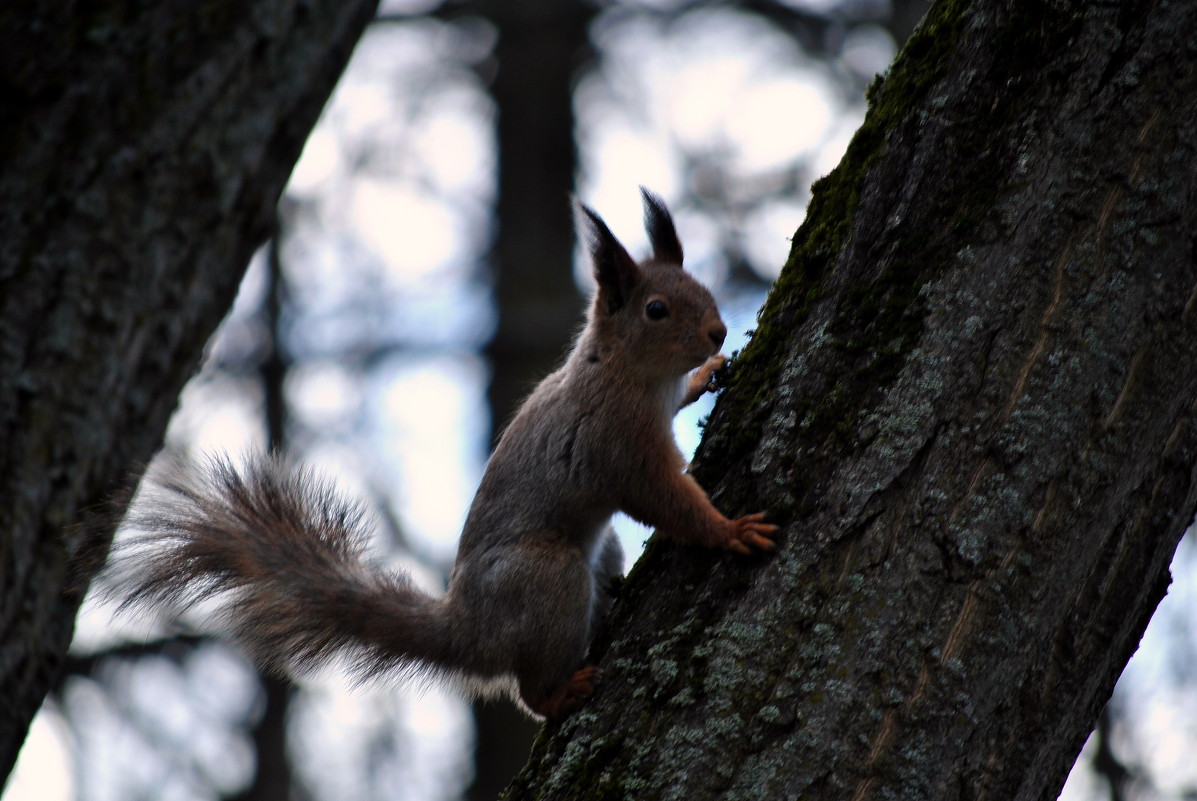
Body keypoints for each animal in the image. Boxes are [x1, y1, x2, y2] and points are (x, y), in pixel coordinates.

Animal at [119, 187, 775, 718]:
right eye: (656, 310)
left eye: (705, 290)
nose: (717, 332)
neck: (624, 370)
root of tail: (469, 633)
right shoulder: (617, 440)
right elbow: (663, 497)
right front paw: (729, 530)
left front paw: (709, 374)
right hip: (549, 576)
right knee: (528, 689)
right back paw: (560, 693)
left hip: (598, 552)